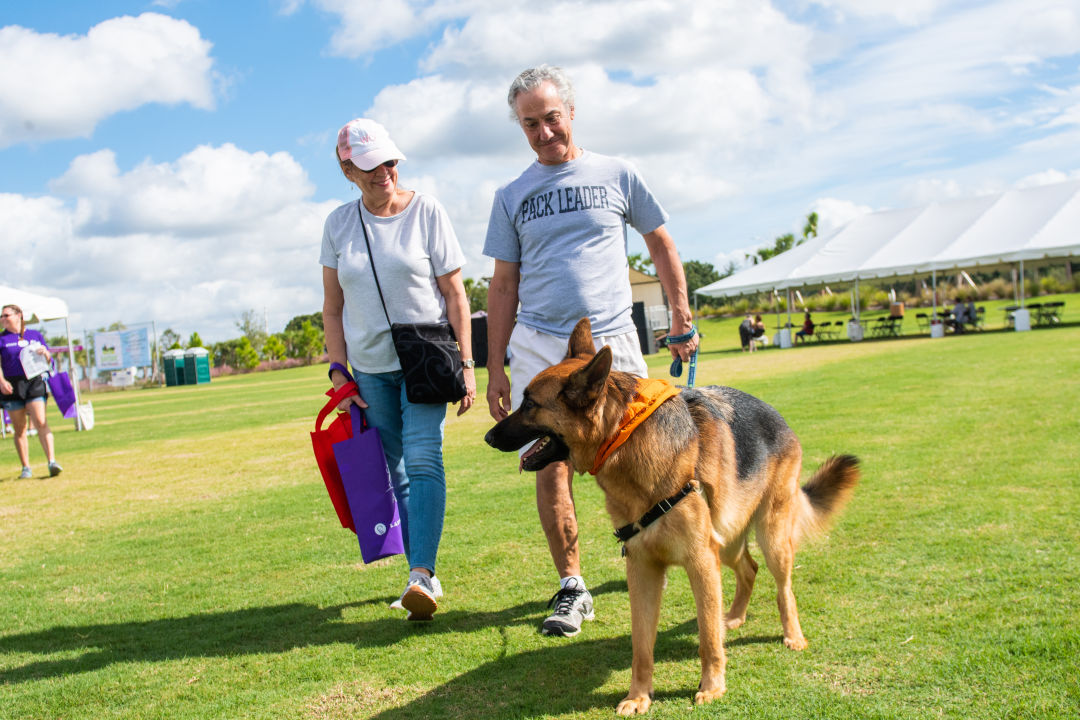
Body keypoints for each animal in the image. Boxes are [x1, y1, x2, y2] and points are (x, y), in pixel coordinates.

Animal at [486, 319, 855, 716]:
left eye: (530, 404)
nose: (488, 436)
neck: (625, 440)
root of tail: (777, 416)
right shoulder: (643, 569)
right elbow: (641, 645)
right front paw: (638, 696)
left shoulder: (700, 562)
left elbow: (708, 638)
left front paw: (712, 687)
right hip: (726, 539)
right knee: (748, 568)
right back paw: (733, 617)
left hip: (770, 537)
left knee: (783, 588)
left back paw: (792, 635)